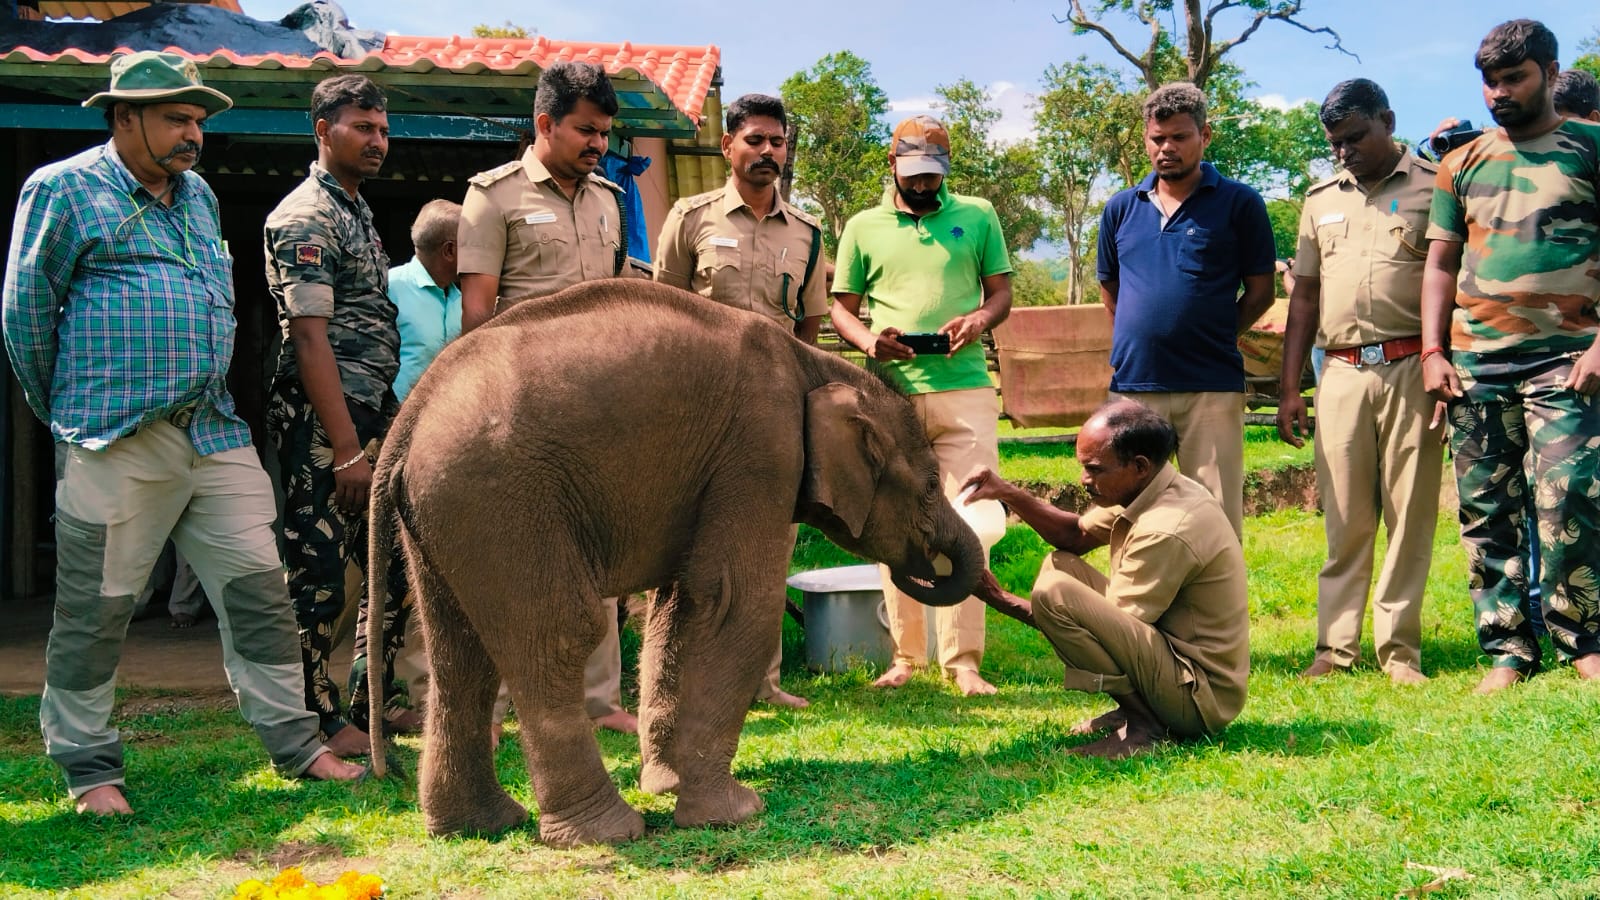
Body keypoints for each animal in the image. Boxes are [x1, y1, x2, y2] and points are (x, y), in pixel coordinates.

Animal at [366, 278, 979, 839]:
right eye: (930, 485)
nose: (925, 562)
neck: (818, 363)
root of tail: (409, 419)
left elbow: (679, 608)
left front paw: (666, 784)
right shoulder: (763, 448)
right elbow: (735, 603)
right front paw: (731, 813)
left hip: (443, 514)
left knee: (459, 650)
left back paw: (477, 826)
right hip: (500, 500)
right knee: (558, 634)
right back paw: (608, 832)